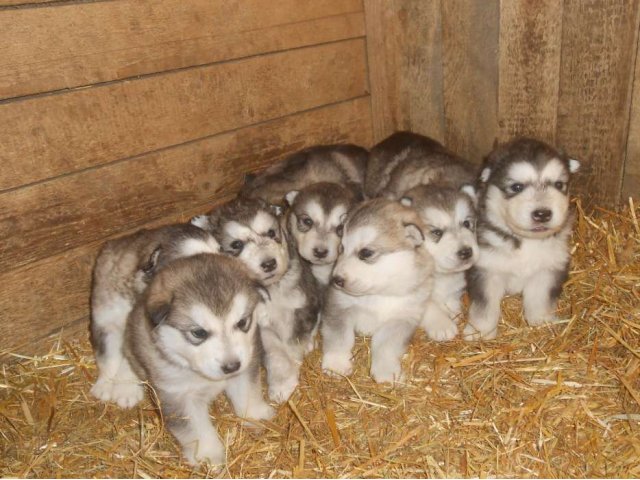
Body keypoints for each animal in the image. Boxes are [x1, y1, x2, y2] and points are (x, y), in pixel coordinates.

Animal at [124, 255, 276, 464]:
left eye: (242, 322)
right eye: (199, 333)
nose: (231, 366)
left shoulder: (246, 366)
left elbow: (248, 393)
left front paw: (255, 415)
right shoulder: (179, 396)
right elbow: (196, 429)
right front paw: (208, 454)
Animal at [190, 197, 320, 404]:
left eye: (271, 233)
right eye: (236, 245)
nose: (269, 263)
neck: (271, 290)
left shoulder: (301, 305)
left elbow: (294, 343)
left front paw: (294, 365)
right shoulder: (259, 325)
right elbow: (276, 354)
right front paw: (282, 383)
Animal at [320, 198, 436, 382]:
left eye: (366, 253)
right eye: (342, 248)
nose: (336, 279)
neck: (379, 293)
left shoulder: (400, 320)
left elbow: (385, 347)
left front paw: (386, 371)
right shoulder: (339, 306)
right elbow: (340, 337)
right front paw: (336, 362)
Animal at [402, 184, 478, 342]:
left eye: (466, 223)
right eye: (437, 232)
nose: (466, 252)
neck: (439, 275)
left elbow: (452, 293)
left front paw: (451, 309)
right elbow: (429, 305)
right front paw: (442, 324)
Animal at [462, 137, 584, 340]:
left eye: (559, 185)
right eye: (516, 187)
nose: (542, 214)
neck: (528, 242)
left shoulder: (548, 269)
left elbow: (540, 300)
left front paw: (542, 323)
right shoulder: (486, 269)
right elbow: (484, 307)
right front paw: (480, 332)